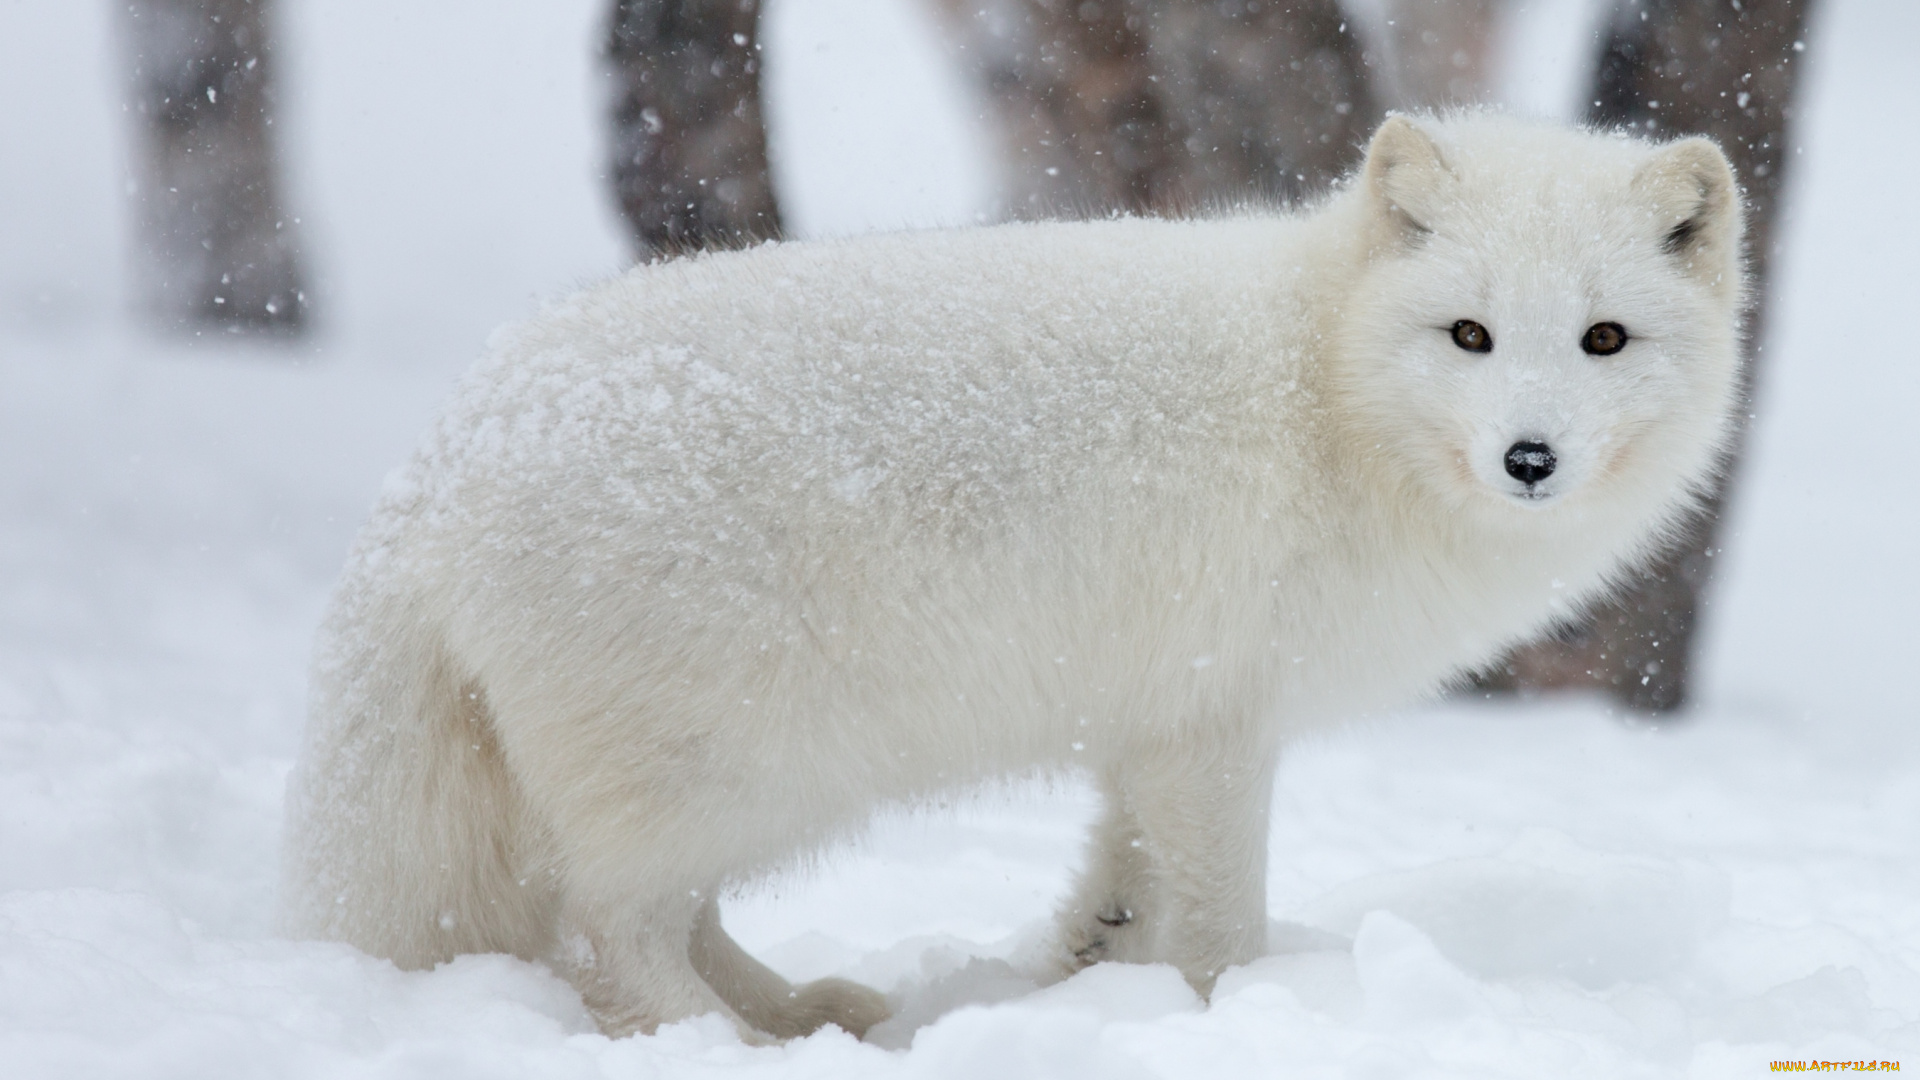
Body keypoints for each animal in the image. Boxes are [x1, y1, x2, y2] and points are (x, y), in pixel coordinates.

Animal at [280, 115, 1743, 1037]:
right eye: (1471, 335)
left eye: (1605, 338)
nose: (1531, 457)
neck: (1323, 383)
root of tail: (447, 463)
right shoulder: (1218, 724)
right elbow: (1221, 921)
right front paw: (1229, 1016)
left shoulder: (1151, 726)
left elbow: (1122, 883)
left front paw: (1088, 981)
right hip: (738, 767)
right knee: (609, 937)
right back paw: (735, 1049)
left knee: (658, 925)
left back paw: (807, 1014)